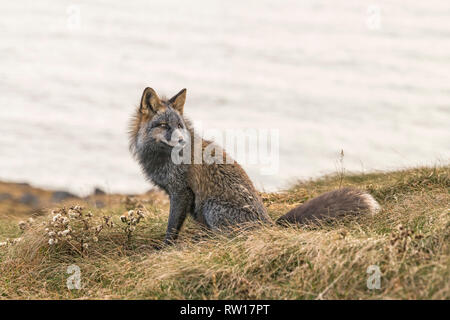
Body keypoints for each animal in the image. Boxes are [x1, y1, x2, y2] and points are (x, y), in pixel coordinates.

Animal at [128, 86, 382, 244]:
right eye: (163, 125)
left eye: (179, 125)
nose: (181, 140)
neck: (161, 159)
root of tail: (269, 225)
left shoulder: (181, 192)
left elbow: (171, 228)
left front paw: (165, 249)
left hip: (211, 206)